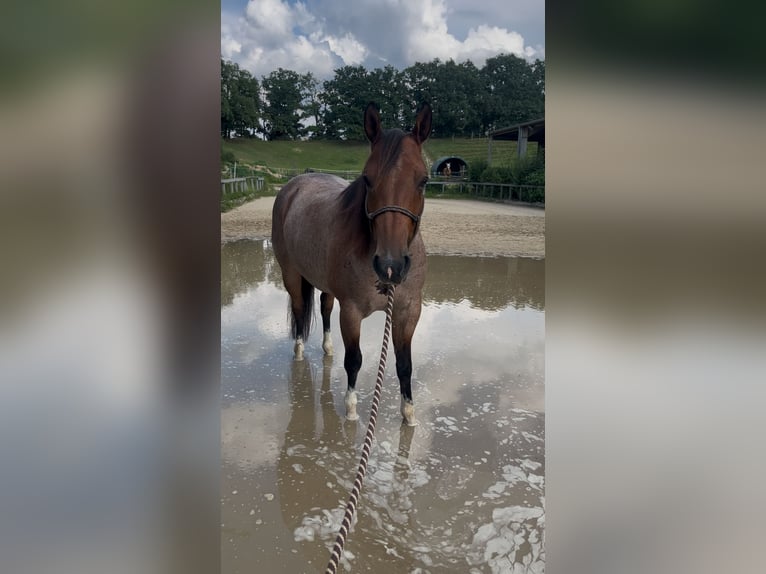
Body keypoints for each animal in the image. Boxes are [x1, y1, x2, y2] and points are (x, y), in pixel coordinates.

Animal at [271, 102, 432, 426]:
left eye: (423, 180)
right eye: (367, 179)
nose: (390, 264)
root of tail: (293, 185)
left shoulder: (408, 311)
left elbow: (404, 364)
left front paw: (408, 415)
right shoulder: (352, 312)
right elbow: (354, 360)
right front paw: (351, 410)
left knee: (324, 307)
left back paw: (327, 348)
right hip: (291, 274)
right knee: (299, 310)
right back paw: (299, 352)